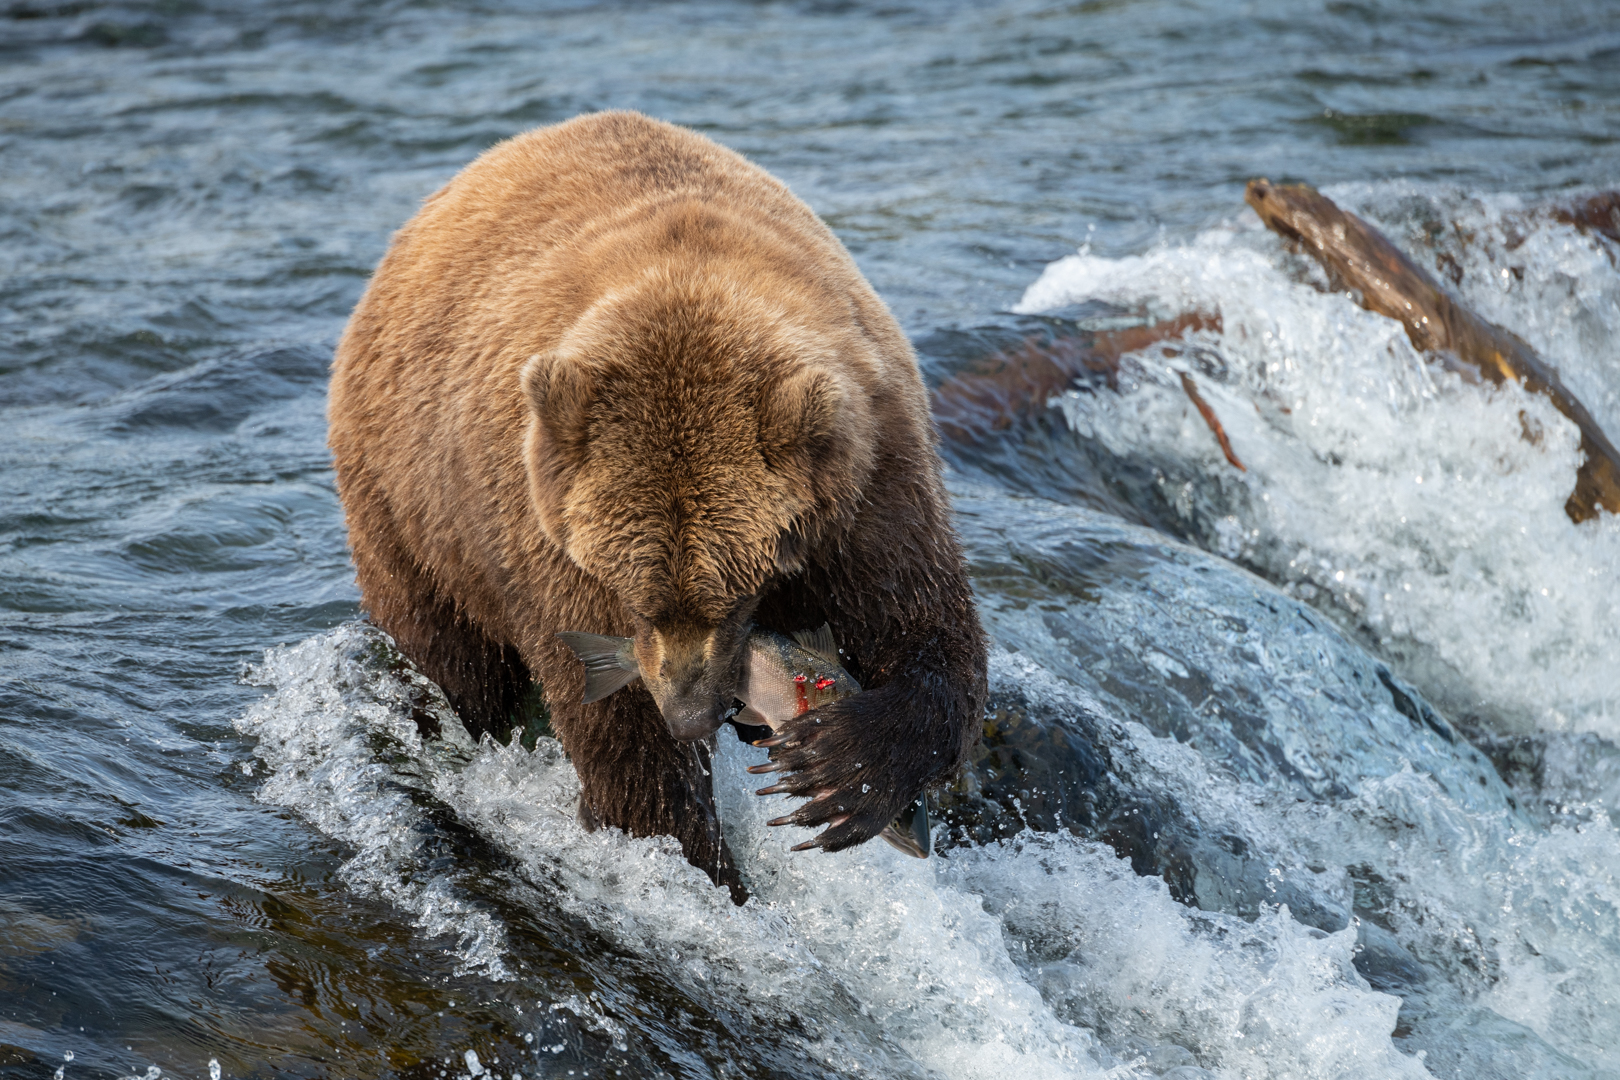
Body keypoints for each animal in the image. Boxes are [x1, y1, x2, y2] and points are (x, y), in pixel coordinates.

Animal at [328, 111, 984, 906]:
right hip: (409, 512)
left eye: (737, 592)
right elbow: (623, 742)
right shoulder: (545, 541)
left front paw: (841, 767)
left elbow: (926, 631)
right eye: (635, 595)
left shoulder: (867, 488)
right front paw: (696, 862)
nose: (693, 714)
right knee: (451, 657)